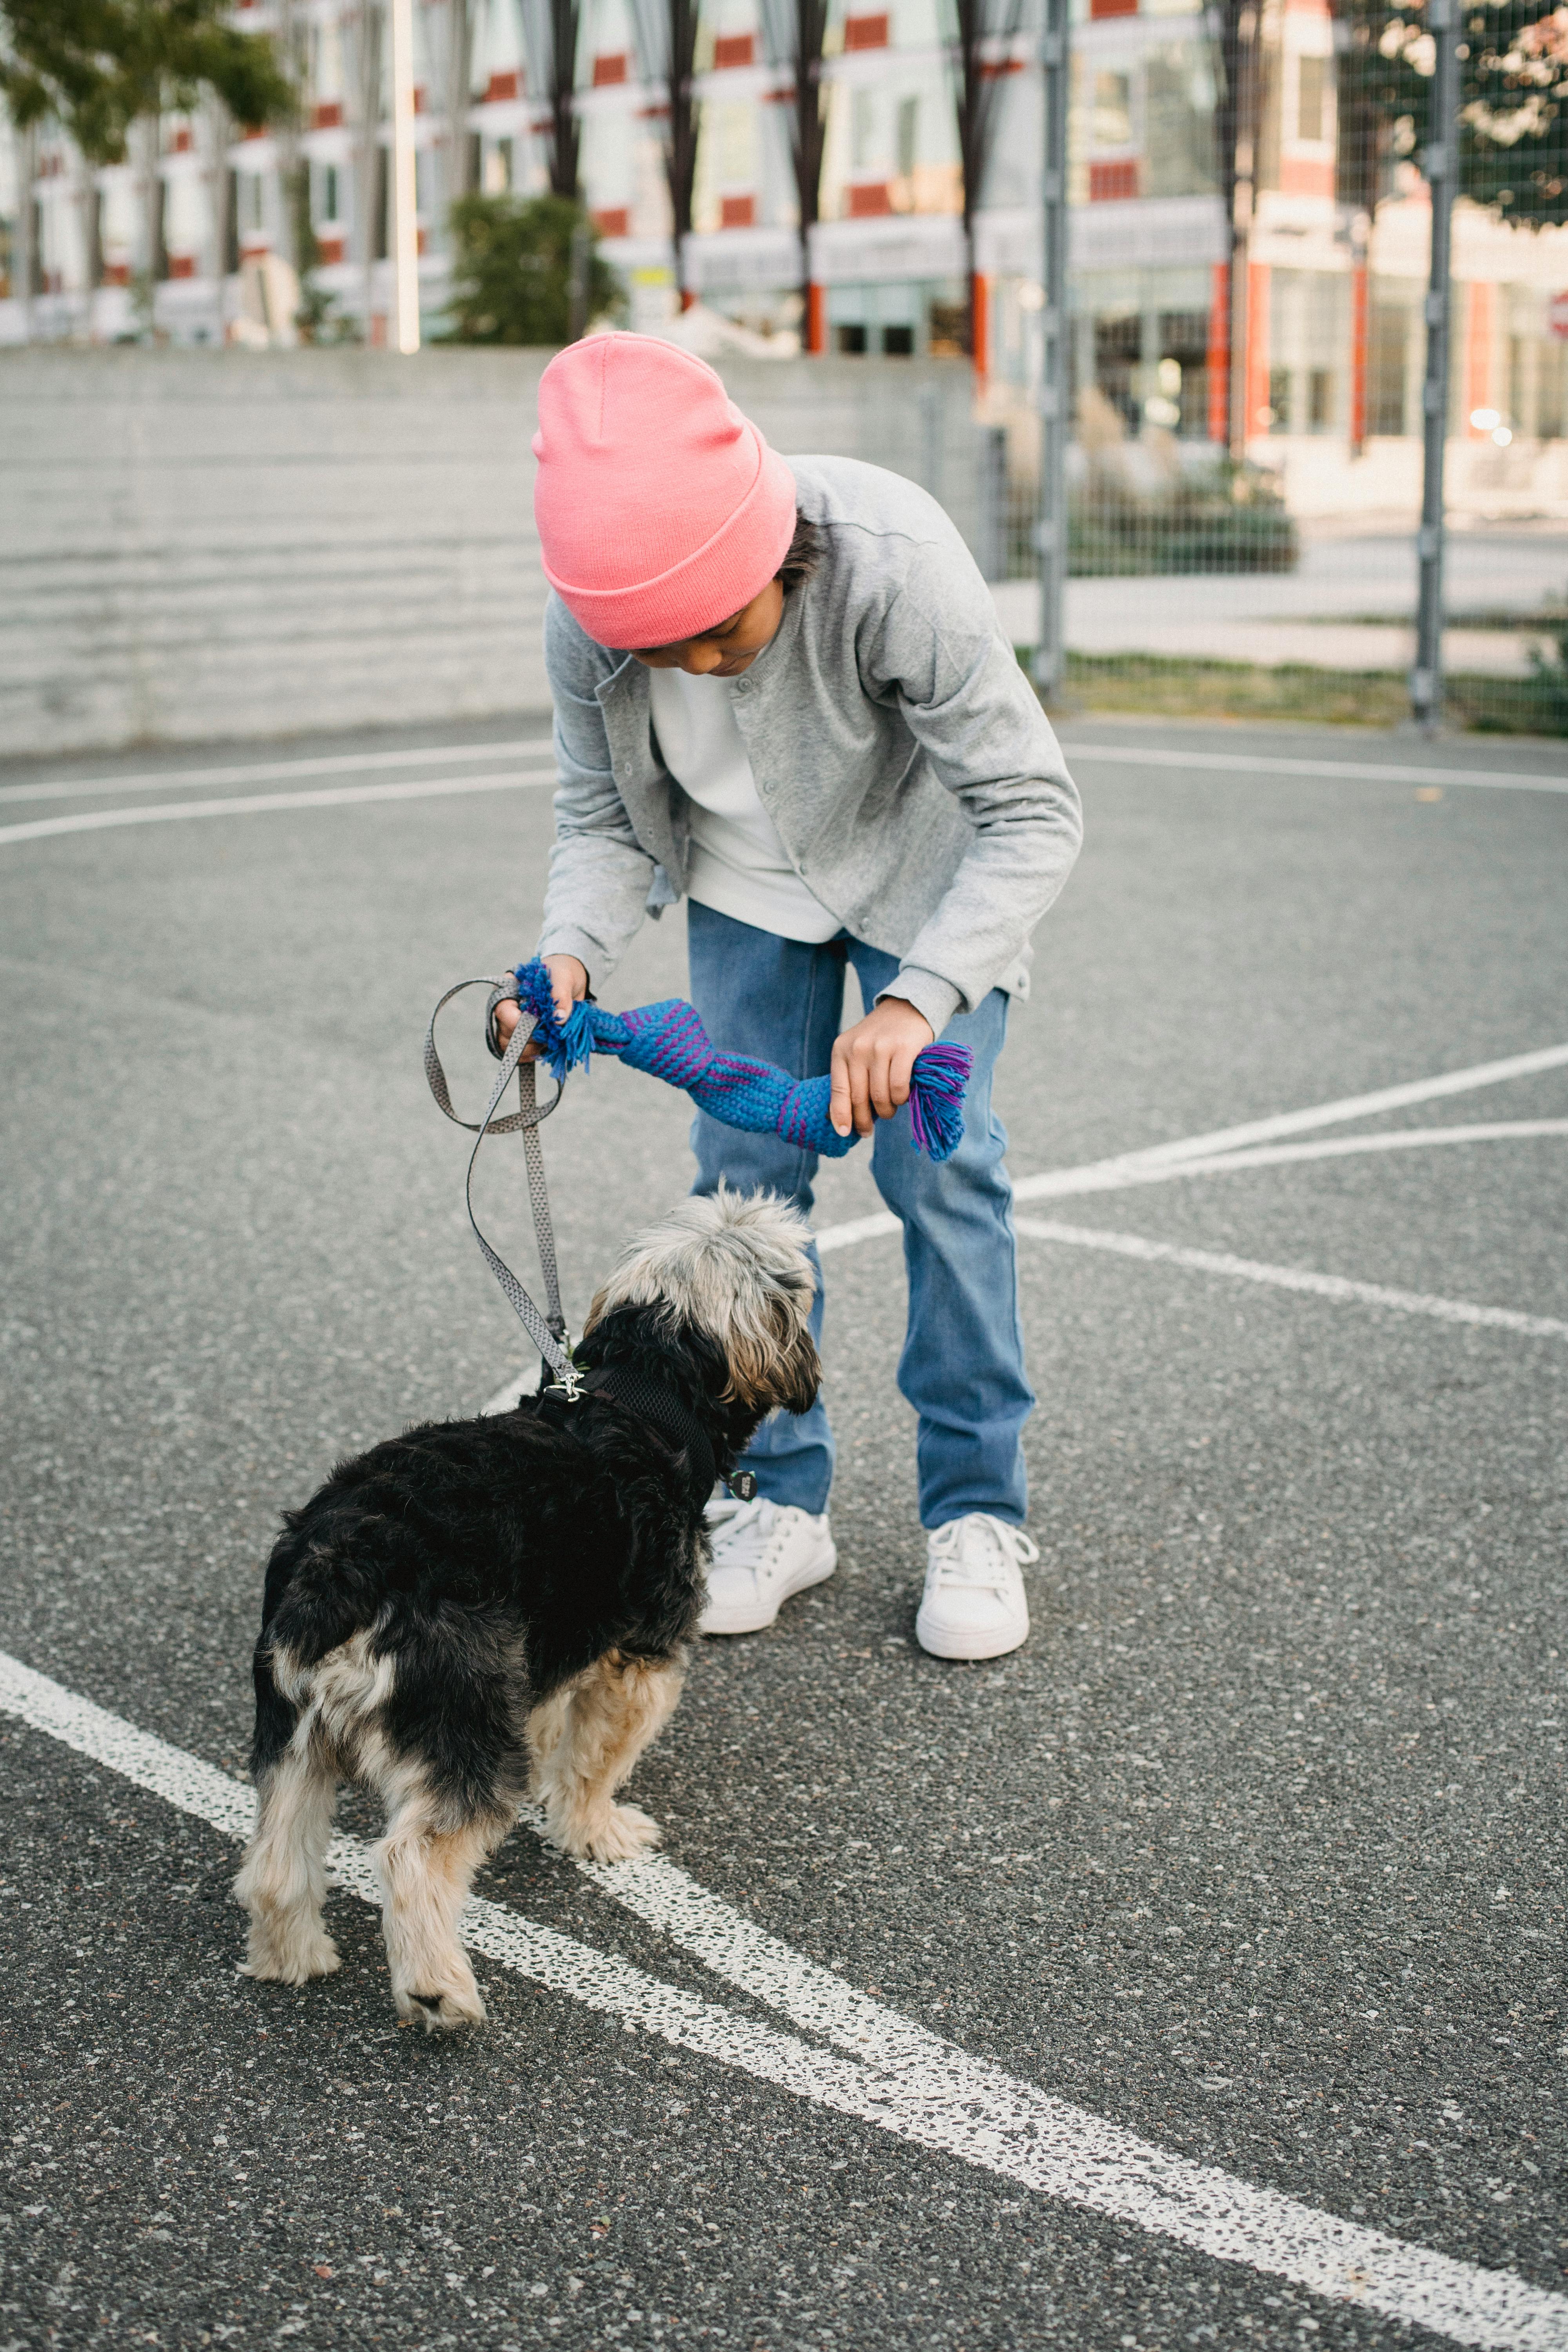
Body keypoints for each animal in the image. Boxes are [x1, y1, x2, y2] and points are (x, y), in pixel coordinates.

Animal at [237, 1185, 822, 2032]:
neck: (643, 1399)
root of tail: (344, 1564)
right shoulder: (638, 1663)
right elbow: (595, 1763)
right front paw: (595, 1831)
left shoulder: (551, 1654)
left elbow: (553, 1731)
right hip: (463, 1727)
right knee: (412, 1857)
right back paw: (438, 1991)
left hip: (296, 1733)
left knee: (276, 1861)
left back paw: (293, 1960)